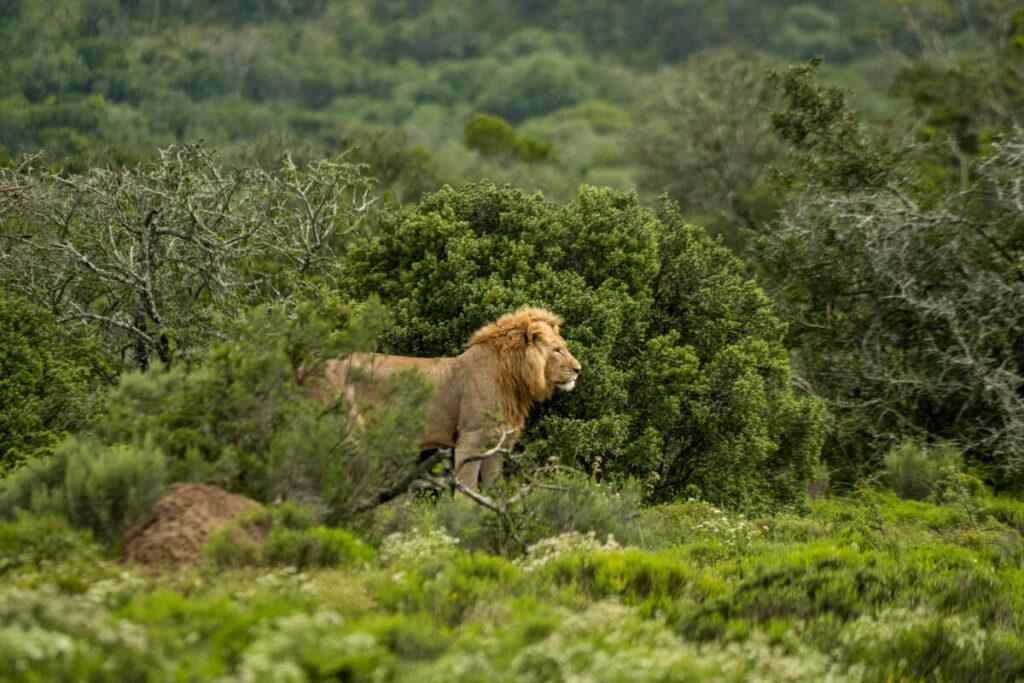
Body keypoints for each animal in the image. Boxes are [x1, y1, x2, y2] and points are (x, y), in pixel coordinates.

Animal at [323, 307, 581, 490]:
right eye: (557, 350)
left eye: (564, 347)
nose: (579, 369)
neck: (512, 378)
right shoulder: (470, 440)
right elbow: (466, 492)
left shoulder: (495, 446)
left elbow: (494, 491)